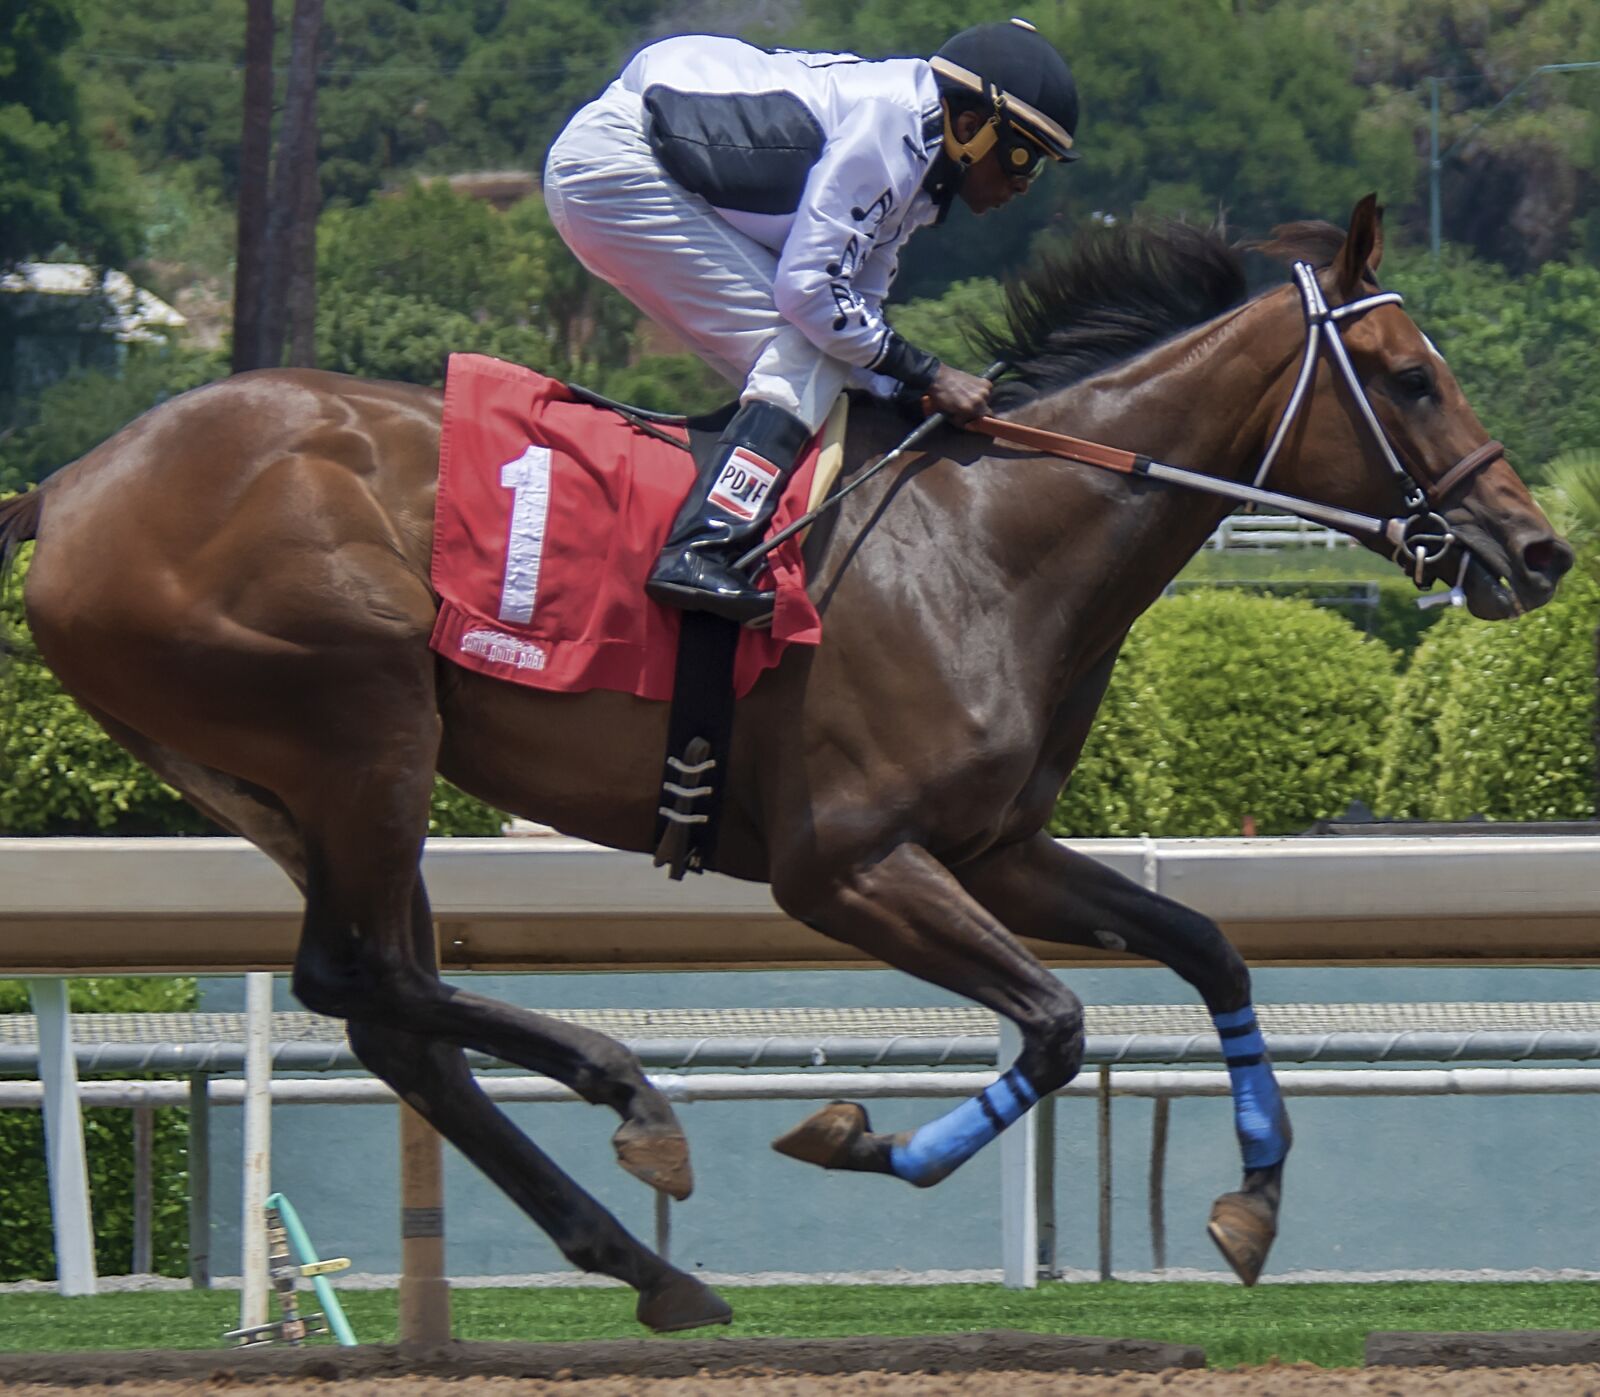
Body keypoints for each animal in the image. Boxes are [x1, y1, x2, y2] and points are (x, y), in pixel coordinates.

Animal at [0, 197, 1570, 1331]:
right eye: (1409, 378)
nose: (1538, 548)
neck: (992, 539)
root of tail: (71, 483)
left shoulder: (997, 848)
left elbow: (1209, 947)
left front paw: (1251, 1202)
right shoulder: (846, 864)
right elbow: (1056, 1024)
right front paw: (857, 1138)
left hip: (275, 775)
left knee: (385, 1006)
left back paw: (651, 1262)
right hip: (360, 723)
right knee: (362, 977)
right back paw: (629, 1102)